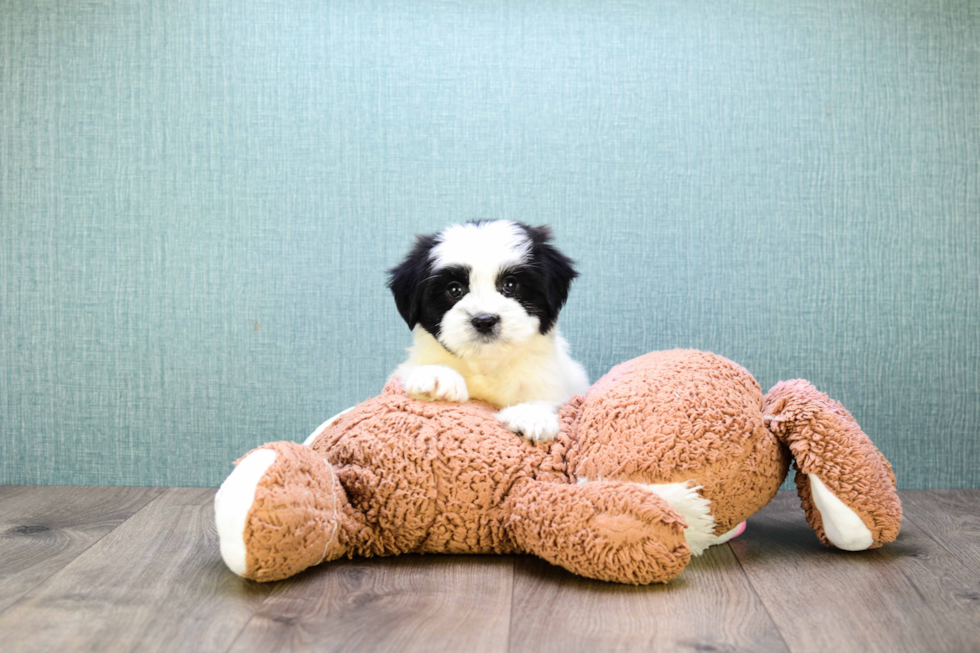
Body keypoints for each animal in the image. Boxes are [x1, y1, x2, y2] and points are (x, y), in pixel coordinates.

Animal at [388, 220, 588, 444]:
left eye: (510, 284)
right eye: (454, 289)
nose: (484, 320)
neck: (486, 363)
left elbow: (546, 400)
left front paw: (531, 415)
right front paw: (437, 375)